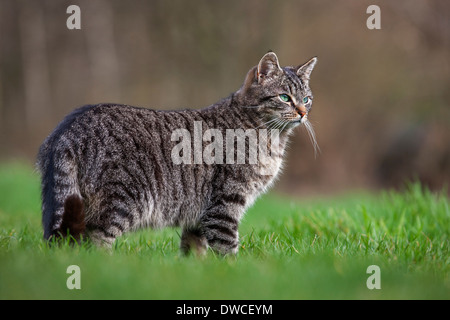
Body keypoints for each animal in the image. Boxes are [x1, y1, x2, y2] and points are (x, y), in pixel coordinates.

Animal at [37, 52, 318, 255]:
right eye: (284, 97)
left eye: (306, 99)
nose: (303, 112)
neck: (271, 136)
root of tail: (68, 128)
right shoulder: (225, 205)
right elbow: (228, 248)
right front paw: (235, 272)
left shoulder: (200, 215)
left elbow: (194, 250)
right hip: (121, 200)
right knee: (95, 242)